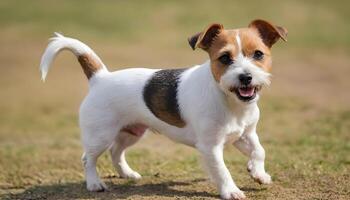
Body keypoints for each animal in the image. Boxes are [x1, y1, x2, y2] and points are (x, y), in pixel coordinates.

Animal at [40, 19, 288, 200]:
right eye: (225, 58)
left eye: (258, 54)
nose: (245, 77)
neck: (229, 99)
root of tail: (100, 77)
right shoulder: (210, 147)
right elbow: (221, 170)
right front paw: (231, 191)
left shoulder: (245, 135)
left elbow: (259, 151)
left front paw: (258, 173)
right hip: (100, 135)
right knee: (88, 158)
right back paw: (94, 183)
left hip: (132, 132)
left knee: (116, 152)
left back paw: (127, 174)